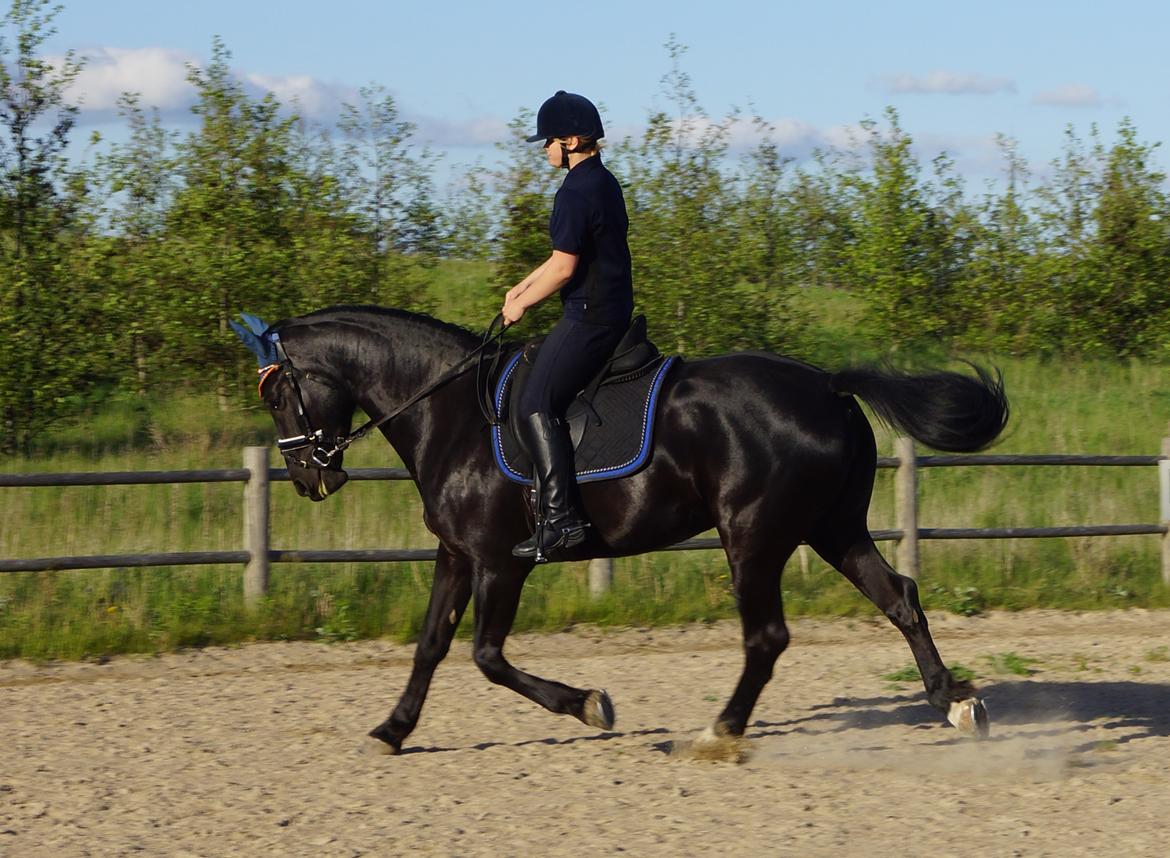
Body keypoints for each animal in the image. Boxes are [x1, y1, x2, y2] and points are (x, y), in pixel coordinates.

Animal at [235, 304, 1006, 753]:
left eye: (276, 395)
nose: (308, 478)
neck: (450, 413)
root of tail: (830, 388)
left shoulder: (499, 561)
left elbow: (486, 656)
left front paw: (588, 706)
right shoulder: (455, 555)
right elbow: (429, 647)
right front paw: (392, 731)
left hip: (753, 538)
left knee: (767, 637)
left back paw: (717, 732)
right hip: (832, 527)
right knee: (900, 597)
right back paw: (955, 702)